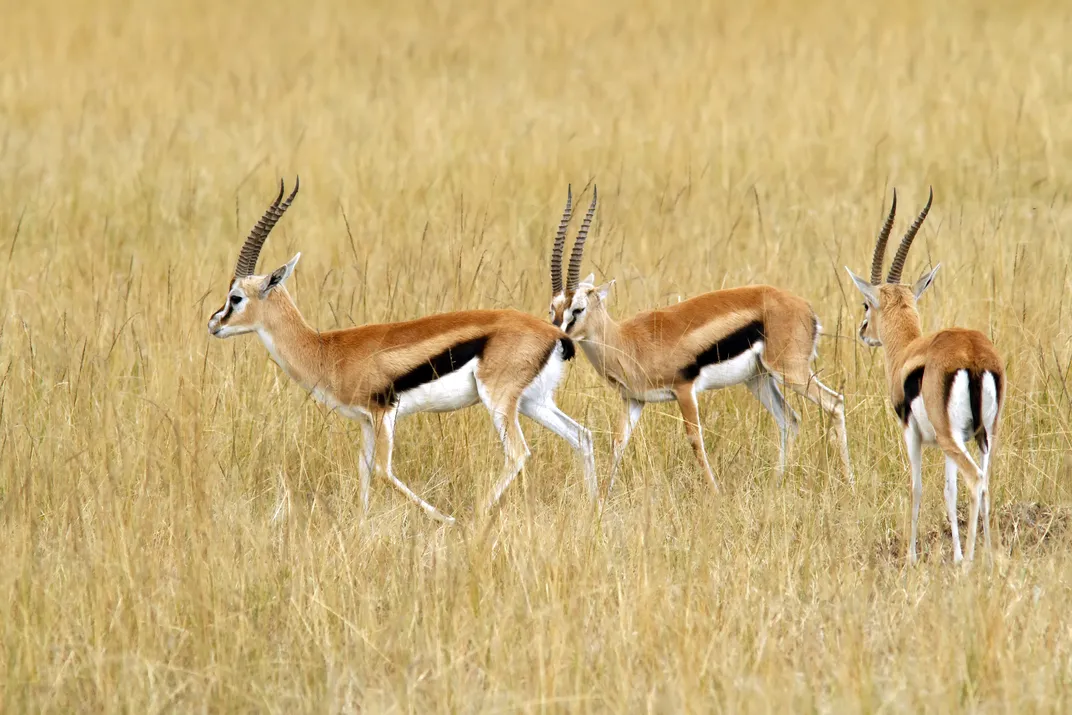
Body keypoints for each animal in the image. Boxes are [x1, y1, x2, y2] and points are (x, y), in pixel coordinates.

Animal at [208, 178, 596, 525]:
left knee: (518, 453)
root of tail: (553, 331)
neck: (325, 349)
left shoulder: (382, 414)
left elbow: (383, 471)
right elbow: (364, 472)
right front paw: (360, 526)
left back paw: (474, 516)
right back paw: (594, 505)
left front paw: (447, 519)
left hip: (499, 401)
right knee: (582, 436)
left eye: (235, 297)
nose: (213, 323)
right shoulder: (365, 422)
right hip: (532, 402)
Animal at [546, 186, 853, 496]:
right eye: (552, 308)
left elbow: (695, 439)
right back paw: (775, 485)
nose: (558, 340)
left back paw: (849, 482)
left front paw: (716, 494)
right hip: (758, 379)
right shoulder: (634, 399)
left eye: (578, 309)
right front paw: (605, 495)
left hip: (790, 371)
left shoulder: (684, 389)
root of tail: (806, 308)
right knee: (789, 420)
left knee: (835, 403)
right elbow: (618, 442)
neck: (626, 340)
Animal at [846, 188, 1004, 564]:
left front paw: (912, 556)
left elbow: (916, 486)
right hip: (983, 435)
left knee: (976, 480)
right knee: (986, 482)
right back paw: (989, 557)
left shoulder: (912, 432)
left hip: (953, 437)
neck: (909, 349)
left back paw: (972, 561)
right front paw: (956, 555)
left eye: (866, 304)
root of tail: (974, 355)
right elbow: (948, 490)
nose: (863, 331)